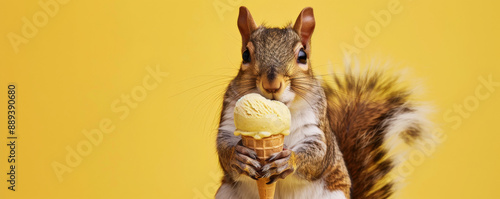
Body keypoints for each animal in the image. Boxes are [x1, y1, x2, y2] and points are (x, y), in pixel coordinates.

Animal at [214, 6, 430, 199]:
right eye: (245, 55)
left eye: (302, 56)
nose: (272, 84)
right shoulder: (229, 118)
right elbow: (223, 145)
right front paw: (238, 156)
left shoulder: (315, 128)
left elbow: (317, 155)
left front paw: (289, 160)